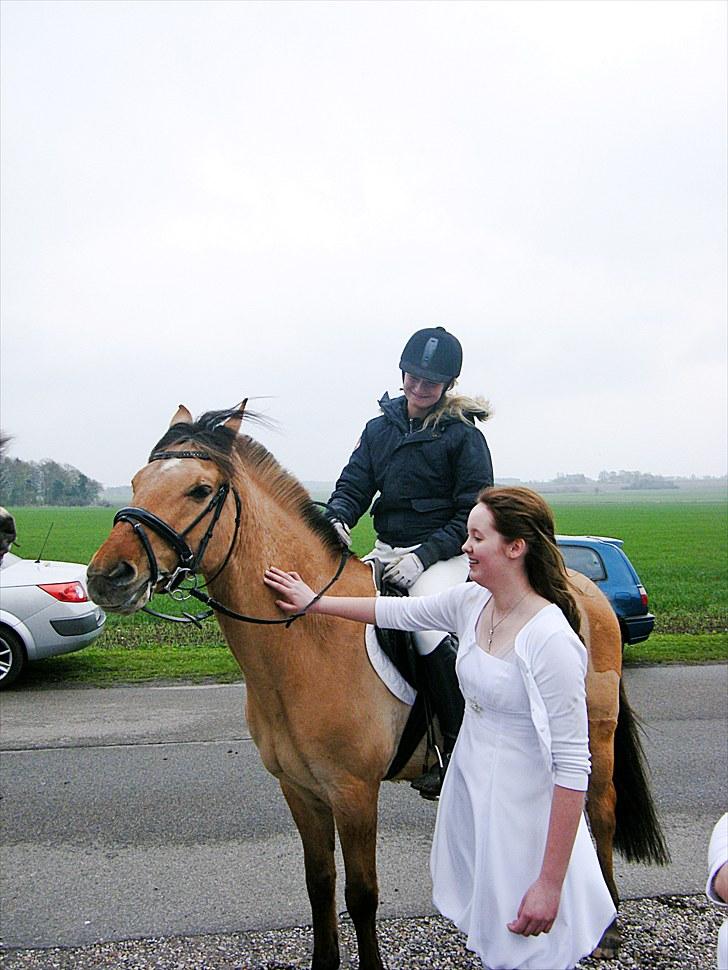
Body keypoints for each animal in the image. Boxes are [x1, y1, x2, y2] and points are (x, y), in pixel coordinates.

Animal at [88, 400, 668, 968]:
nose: (106, 577)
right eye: (136, 482)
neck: (305, 635)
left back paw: (608, 929)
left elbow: (361, 894)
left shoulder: (353, 791)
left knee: (601, 811)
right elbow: (320, 884)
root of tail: (581, 586)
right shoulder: (300, 789)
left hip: (592, 733)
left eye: (200, 490)